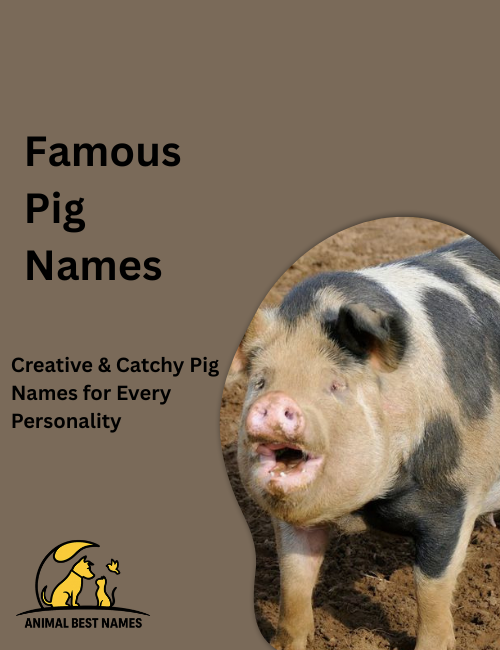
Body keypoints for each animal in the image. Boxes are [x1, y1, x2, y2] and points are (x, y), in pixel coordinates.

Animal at [230, 235, 500, 650]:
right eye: (260, 381)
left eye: (335, 385)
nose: (274, 402)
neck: (367, 508)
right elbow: (295, 580)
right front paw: (289, 642)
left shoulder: (456, 496)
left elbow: (431, 589)